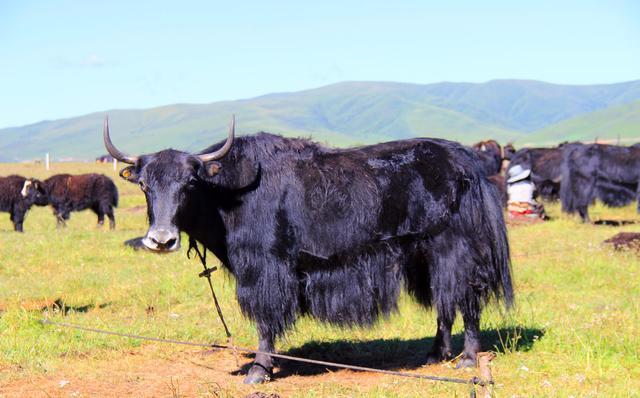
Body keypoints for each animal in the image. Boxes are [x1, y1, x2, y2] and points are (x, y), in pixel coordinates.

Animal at [105, 116, 512, 384]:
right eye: (143, 185)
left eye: (189, 183)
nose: (161, 240)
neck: (227, 193)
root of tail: (467, 161)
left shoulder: (265, 268)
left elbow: (265, 319)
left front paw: (258, 372)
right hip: (425, 254)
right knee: (445, 301)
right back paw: (433, 355)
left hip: (455, 248)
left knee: (465, 298)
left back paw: (467, 360)